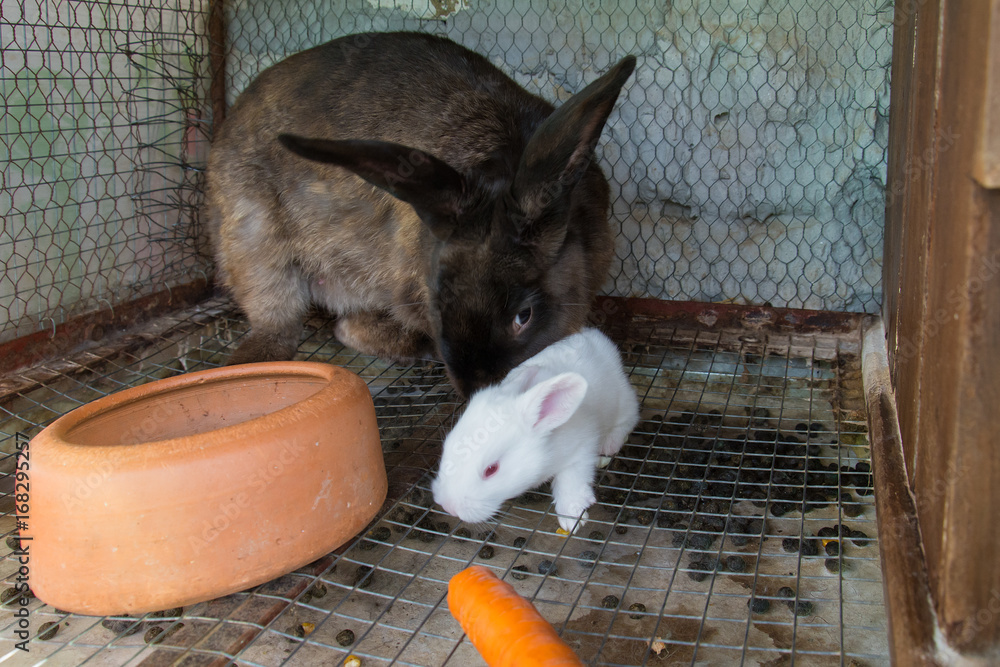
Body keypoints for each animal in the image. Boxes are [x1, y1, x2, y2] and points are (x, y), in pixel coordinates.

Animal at [206, 31, 636, 396]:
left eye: (523, 316)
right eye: (437, 304)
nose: (475, 389)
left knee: (343, 326)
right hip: (256, 240)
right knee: (284, 322)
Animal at [431, 327, 639, 533]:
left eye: (491, 470)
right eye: (446, 448)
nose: (449, 507)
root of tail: (597, 337)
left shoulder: (582, 449)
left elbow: (570, 480)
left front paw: (571, 516)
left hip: (623, 402)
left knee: (629, 419)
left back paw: (610, 444)